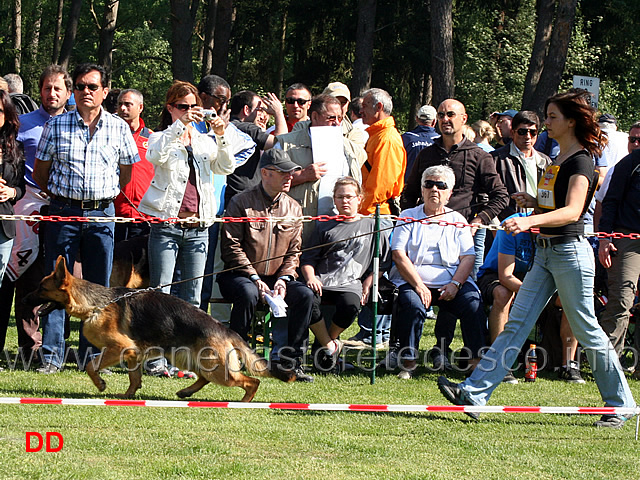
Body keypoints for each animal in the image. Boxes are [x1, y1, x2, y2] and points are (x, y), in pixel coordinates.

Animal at [24, 255, 296, 402]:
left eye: (41, 288)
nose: (25, 300)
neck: (96, 304)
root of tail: (226, 329)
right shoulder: (132, 354)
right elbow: (134, 377)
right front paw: (128, 395)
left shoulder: (119, 348)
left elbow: (91, 365)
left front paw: (101, 384)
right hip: (191, 359)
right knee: (203, 378)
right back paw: (186, 391)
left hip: (219, 370)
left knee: (251, 382)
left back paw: (244, 401)